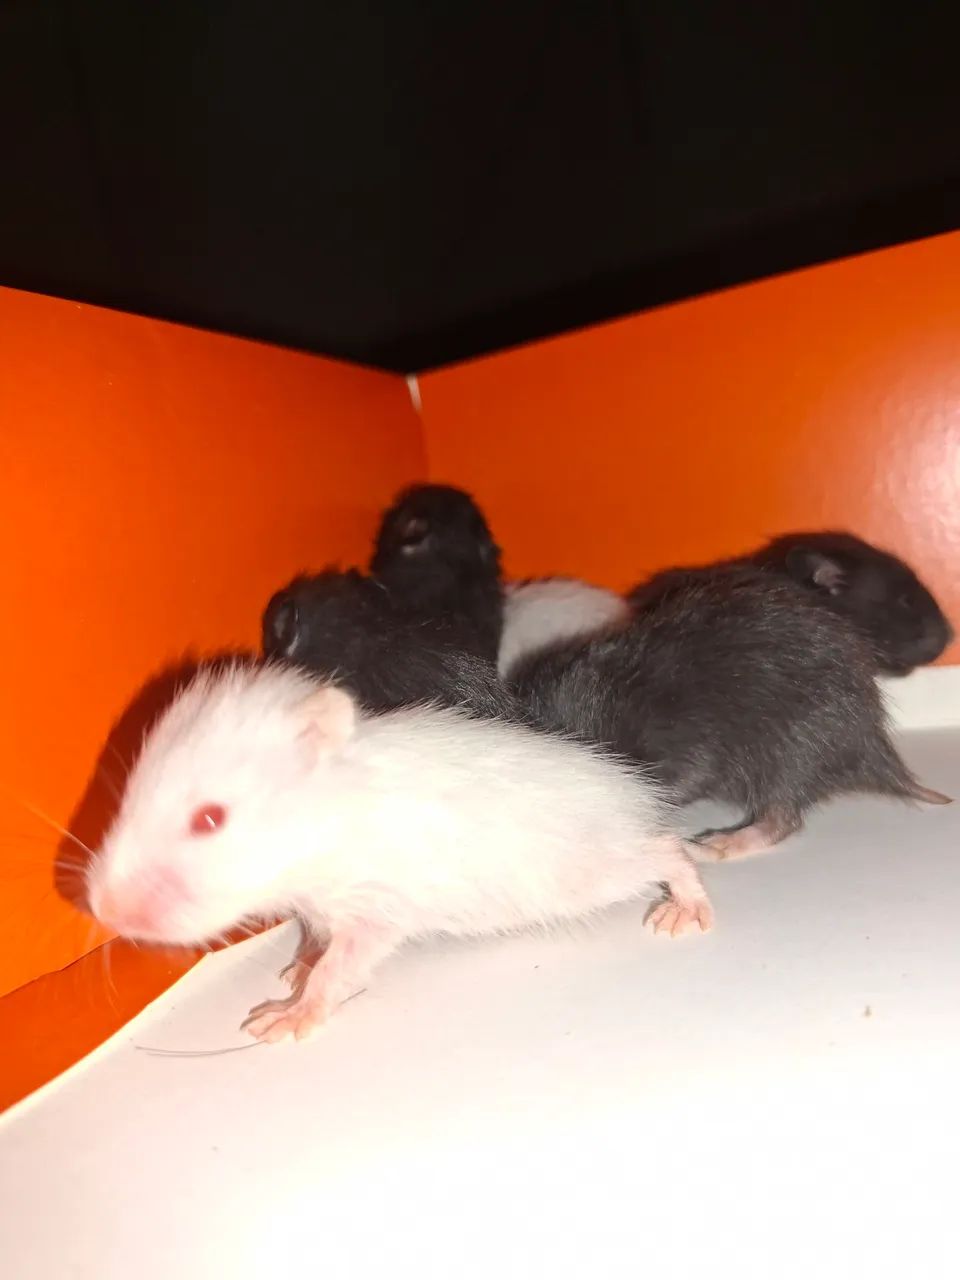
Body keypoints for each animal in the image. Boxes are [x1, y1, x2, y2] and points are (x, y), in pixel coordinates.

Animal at [86, 662, 713, 1042]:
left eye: (210, 819)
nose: (104, 911)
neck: (325, 823)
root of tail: (632, 796)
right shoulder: (320, 906)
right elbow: (314, 943)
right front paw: (294, 970)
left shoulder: (374, 910)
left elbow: (337, 969)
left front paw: (282, 1018)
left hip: (594, 869)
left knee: (668, 849)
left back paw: (684, 912)